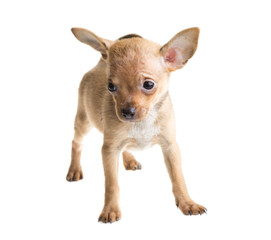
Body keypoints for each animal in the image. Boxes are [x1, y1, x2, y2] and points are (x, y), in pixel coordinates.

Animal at [67, 27, 207, 223]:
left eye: (148, 84)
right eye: (111, 86)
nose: (127, 112)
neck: (142, 123)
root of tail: (99, 64)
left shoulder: (170, 147)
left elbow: (178, 178)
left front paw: (188, 203)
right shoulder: (109, 150)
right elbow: (112, 184)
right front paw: (110, 209)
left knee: (124, 147)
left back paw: (130, 159)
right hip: (84, 121)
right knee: (76, 143)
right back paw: (74, 169)